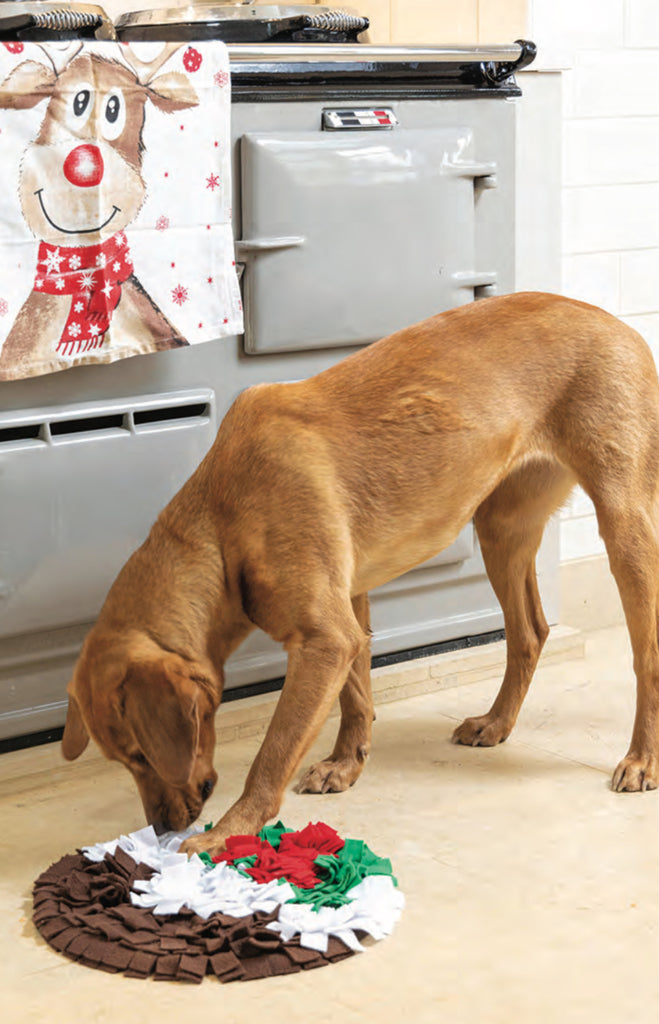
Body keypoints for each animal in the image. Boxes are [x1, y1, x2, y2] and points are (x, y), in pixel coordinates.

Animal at [60, 294, 659, 856]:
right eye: (124, 760)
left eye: (141, 754)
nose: (162, 828)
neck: (223, 521)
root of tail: (613, 320)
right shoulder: (347, 613)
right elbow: (356, 696)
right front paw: (346, 763)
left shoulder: (324, 638)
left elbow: (273, 751)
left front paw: (229, 832)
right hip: (501, 529)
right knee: (529, 632)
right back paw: (497, 723)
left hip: (624, 528)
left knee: (645, 657)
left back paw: (642, 759)